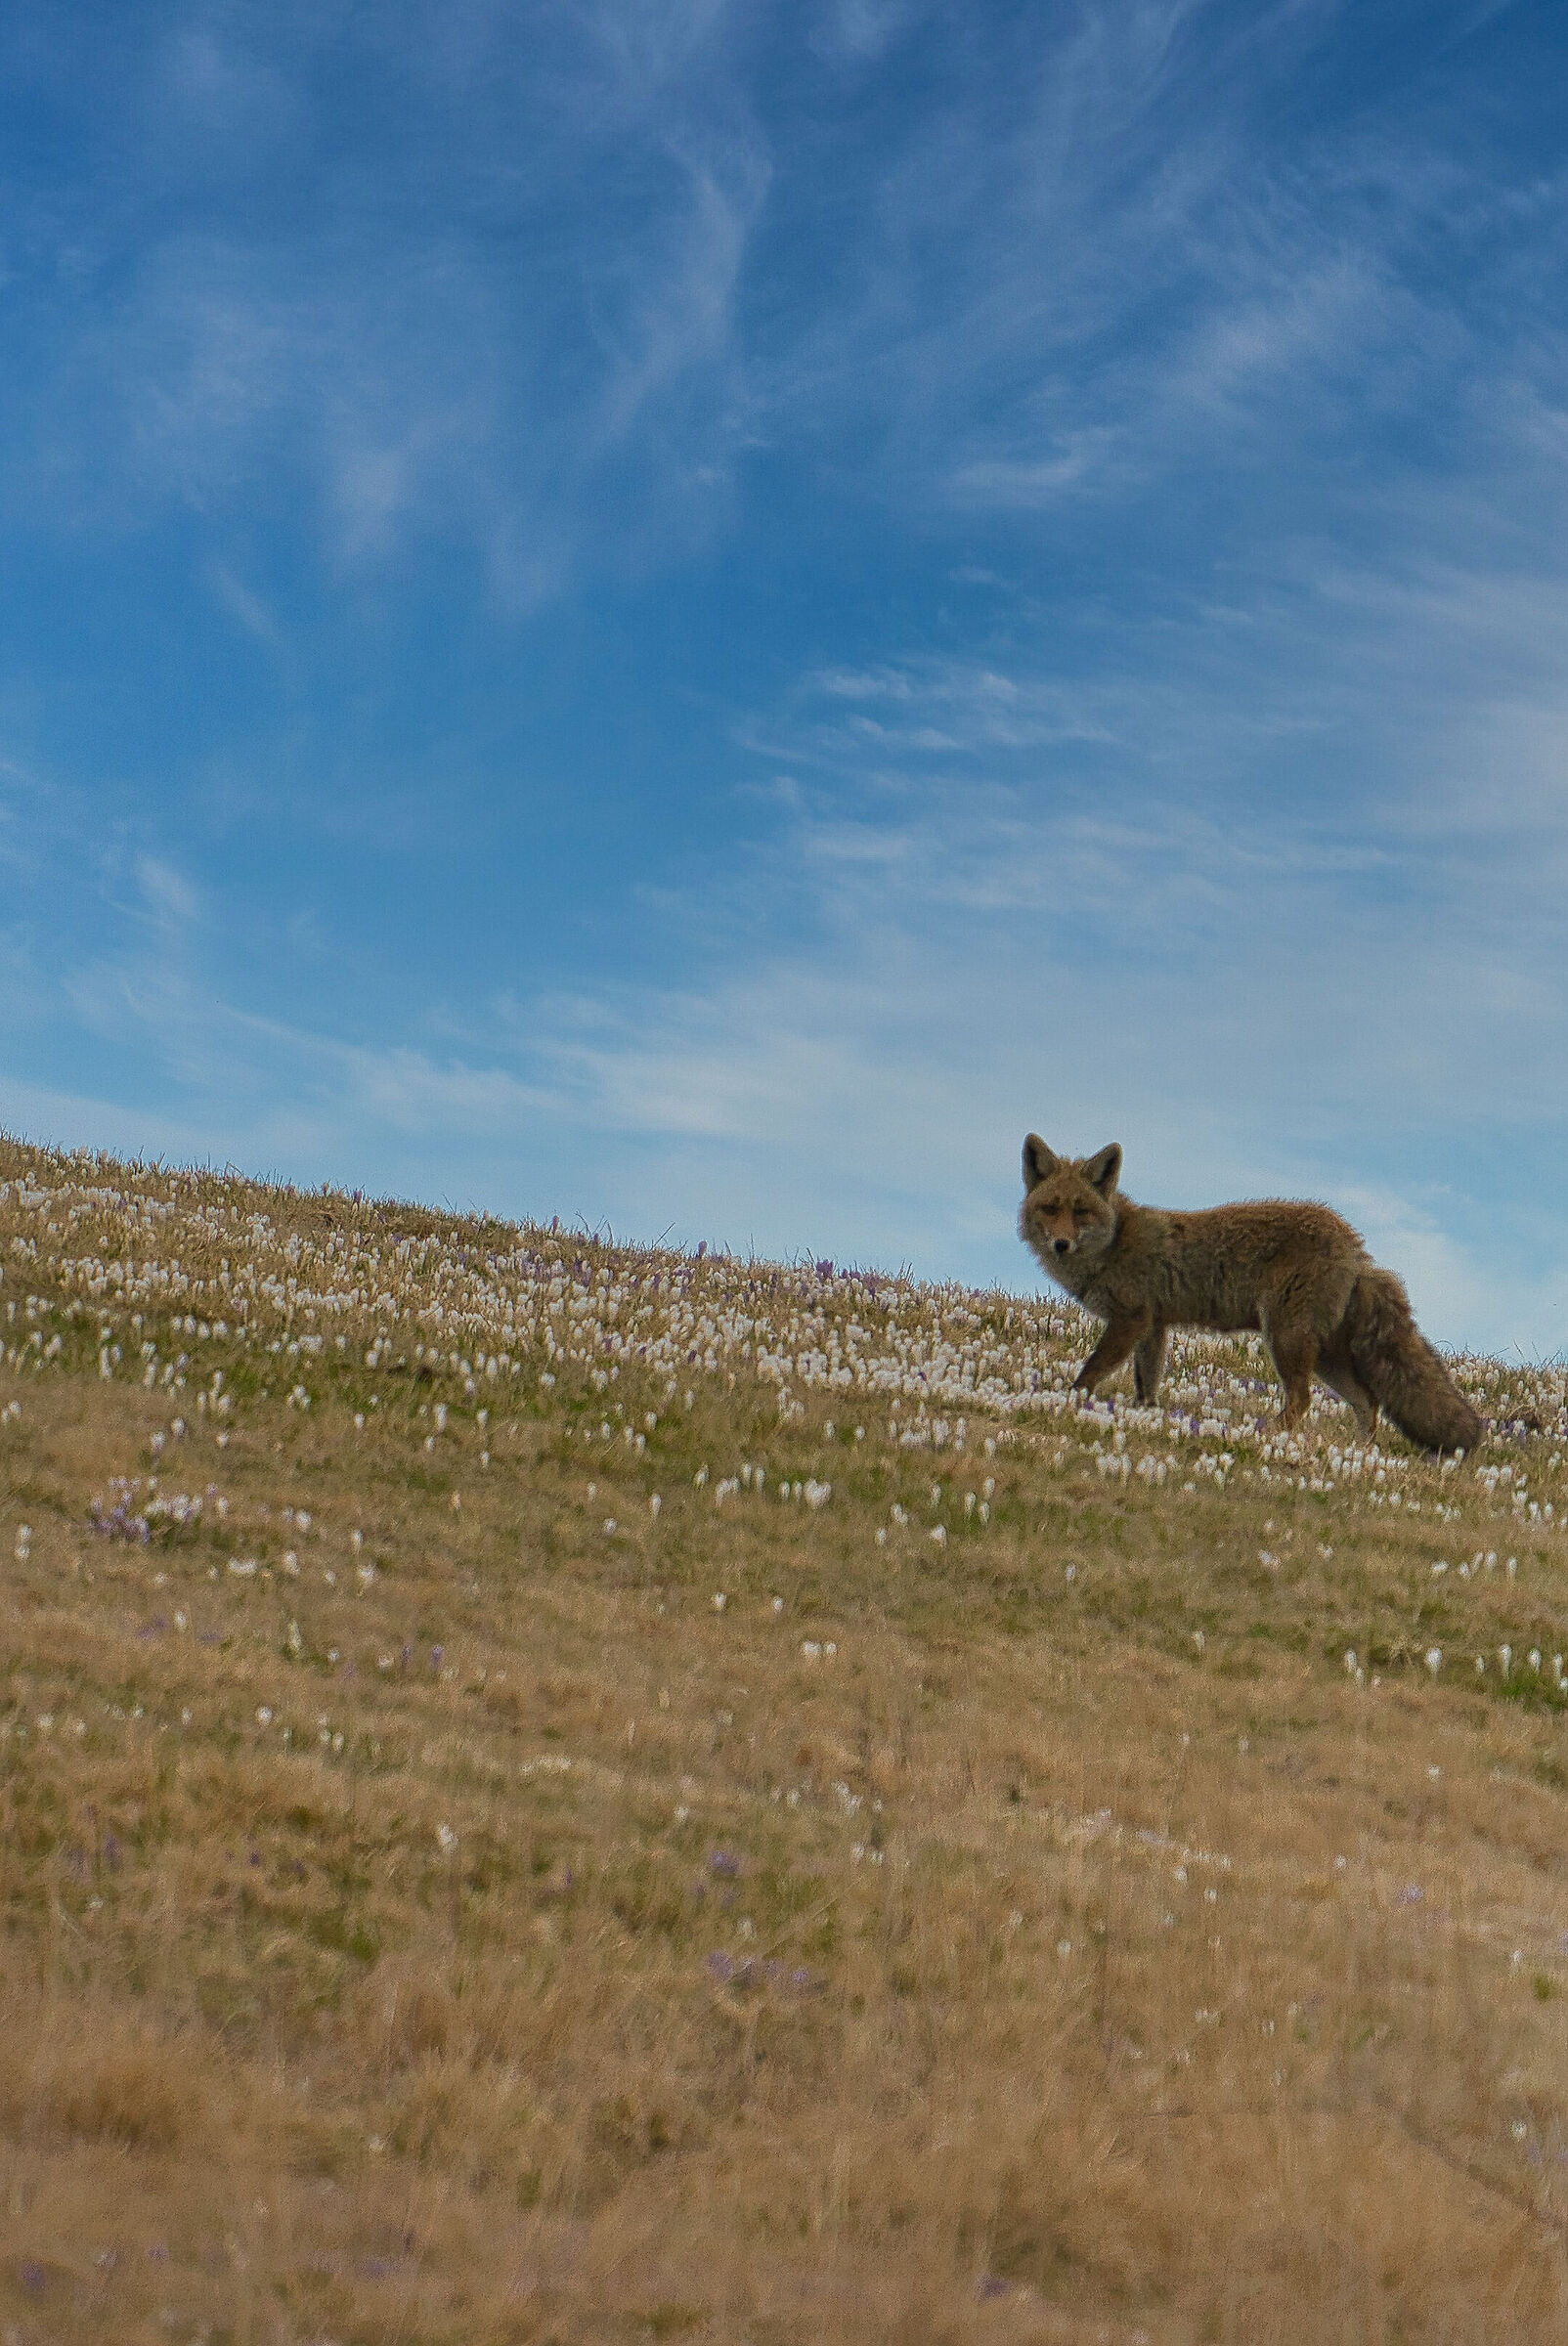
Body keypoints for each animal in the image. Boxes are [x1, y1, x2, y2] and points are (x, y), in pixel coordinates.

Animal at [1019, 1136, 1482, 1455]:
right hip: (1326, 1356)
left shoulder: (1130, 1320)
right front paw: (1146, 1416)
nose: (1061, 1244)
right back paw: (1357, 1452)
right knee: (1367, 1404)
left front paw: (1069, 1402)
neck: (1113, 1244)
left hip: (1286, 1339)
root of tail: (1354, 1244)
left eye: (1081, 1211)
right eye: (1051, 1208)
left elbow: (1089, 1374)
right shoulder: (1153, 1326)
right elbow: (1146, 1384)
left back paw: (1268, 1434)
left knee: (1303, 1401)